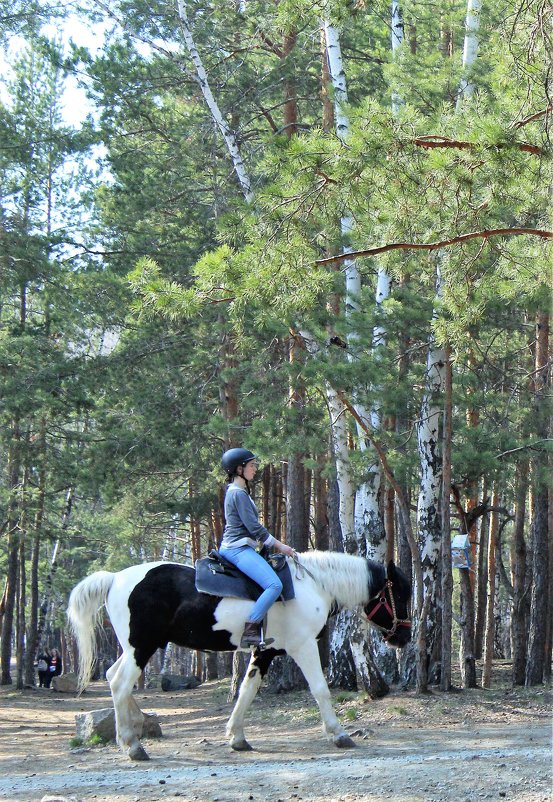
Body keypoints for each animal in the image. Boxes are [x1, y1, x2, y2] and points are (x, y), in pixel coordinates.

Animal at [68, 552, 410, 756]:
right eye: (401, 593)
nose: (403, 637)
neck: (314, 585)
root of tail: (115, 578)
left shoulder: (264, 652)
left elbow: (247, 691)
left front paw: (237, 737)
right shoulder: (303, 647)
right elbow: (320, 690)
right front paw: (338, 734)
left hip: (133, 648)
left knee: (112, 677)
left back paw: (131, 731)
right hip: (142, 647)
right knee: (120, 684)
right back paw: (132, 745)